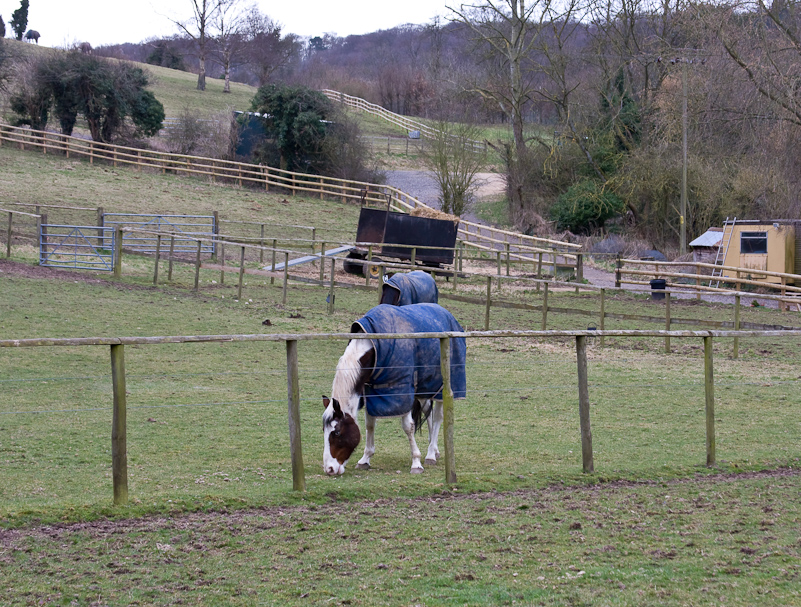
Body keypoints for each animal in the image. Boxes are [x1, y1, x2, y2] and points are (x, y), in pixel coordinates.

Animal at [322, 304, 466, 476]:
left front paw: (416, 463)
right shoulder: (372, 393)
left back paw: (431, 454)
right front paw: (365, 459)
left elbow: (408, 427)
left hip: (441, 388)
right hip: (423, 389)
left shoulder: (400, 392)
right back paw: (435, 451)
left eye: (337, 432)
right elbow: (370, 424)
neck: (372, 349)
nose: (329, 469)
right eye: (324, 430)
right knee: (429, 414)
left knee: (437, 417)